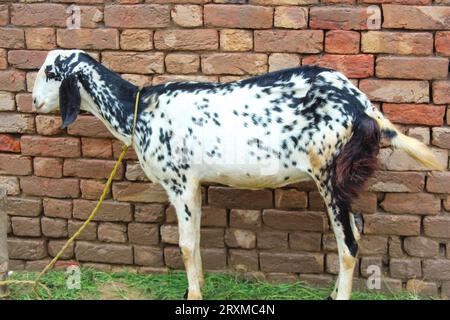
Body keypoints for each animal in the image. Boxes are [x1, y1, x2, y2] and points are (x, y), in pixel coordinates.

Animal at [32, 49, 442, 300]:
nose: (34, 102)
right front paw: (194, 290)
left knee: (350, 243)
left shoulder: (180, 182)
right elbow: (196, 241)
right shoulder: (194, 183)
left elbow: (184, 244)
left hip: (329, 173)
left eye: (51, 72)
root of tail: (364, 106)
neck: (138, 110)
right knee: (356, 231)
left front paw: (194, 295)